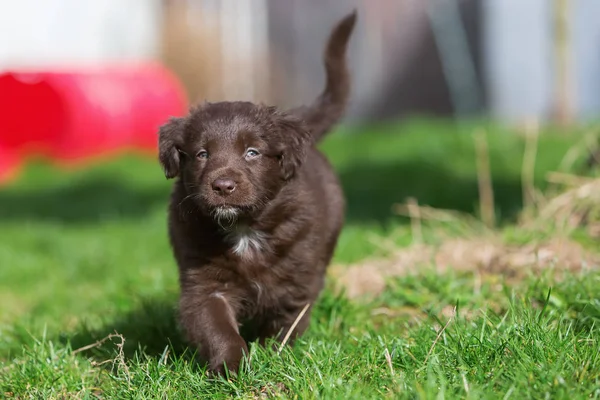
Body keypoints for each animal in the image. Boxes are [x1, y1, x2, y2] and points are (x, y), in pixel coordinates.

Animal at [157, 11, 358, 376]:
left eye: (252, 152)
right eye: (202, 154)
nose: (223, 186)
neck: (245, 228)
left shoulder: (297, 279)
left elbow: (285, 323)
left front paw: (273, 357)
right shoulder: (204, 284)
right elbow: (216, 327)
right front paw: (231, 369)